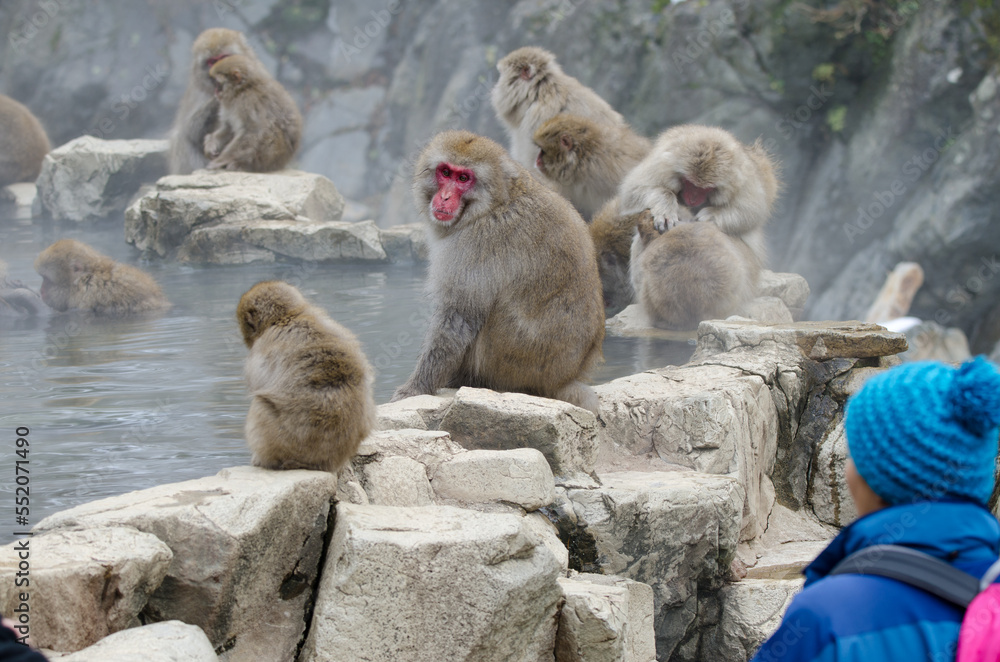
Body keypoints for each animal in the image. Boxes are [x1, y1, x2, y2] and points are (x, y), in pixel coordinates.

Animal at [167, 28, 260, 175]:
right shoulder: (198, 92)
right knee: (180, 137)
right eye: (212, 61)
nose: (219, 72)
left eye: (223, 57)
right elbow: (191, 130)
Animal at [390, 131, 605, 414]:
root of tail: (564, 379)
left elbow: (459, 316)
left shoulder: (476, 242)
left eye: (463, 178)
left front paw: (416, 387)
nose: (445, 197)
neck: (496, 201)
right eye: (445, 172)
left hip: (514, 361)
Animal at [619, 124, 780, 263]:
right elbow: (632, 191)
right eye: (690, 183)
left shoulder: (743, 178)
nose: (693, 198)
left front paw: (710, 216)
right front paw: (665, 207)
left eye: (705, 189)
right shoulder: (661, 162)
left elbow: (751, 212)